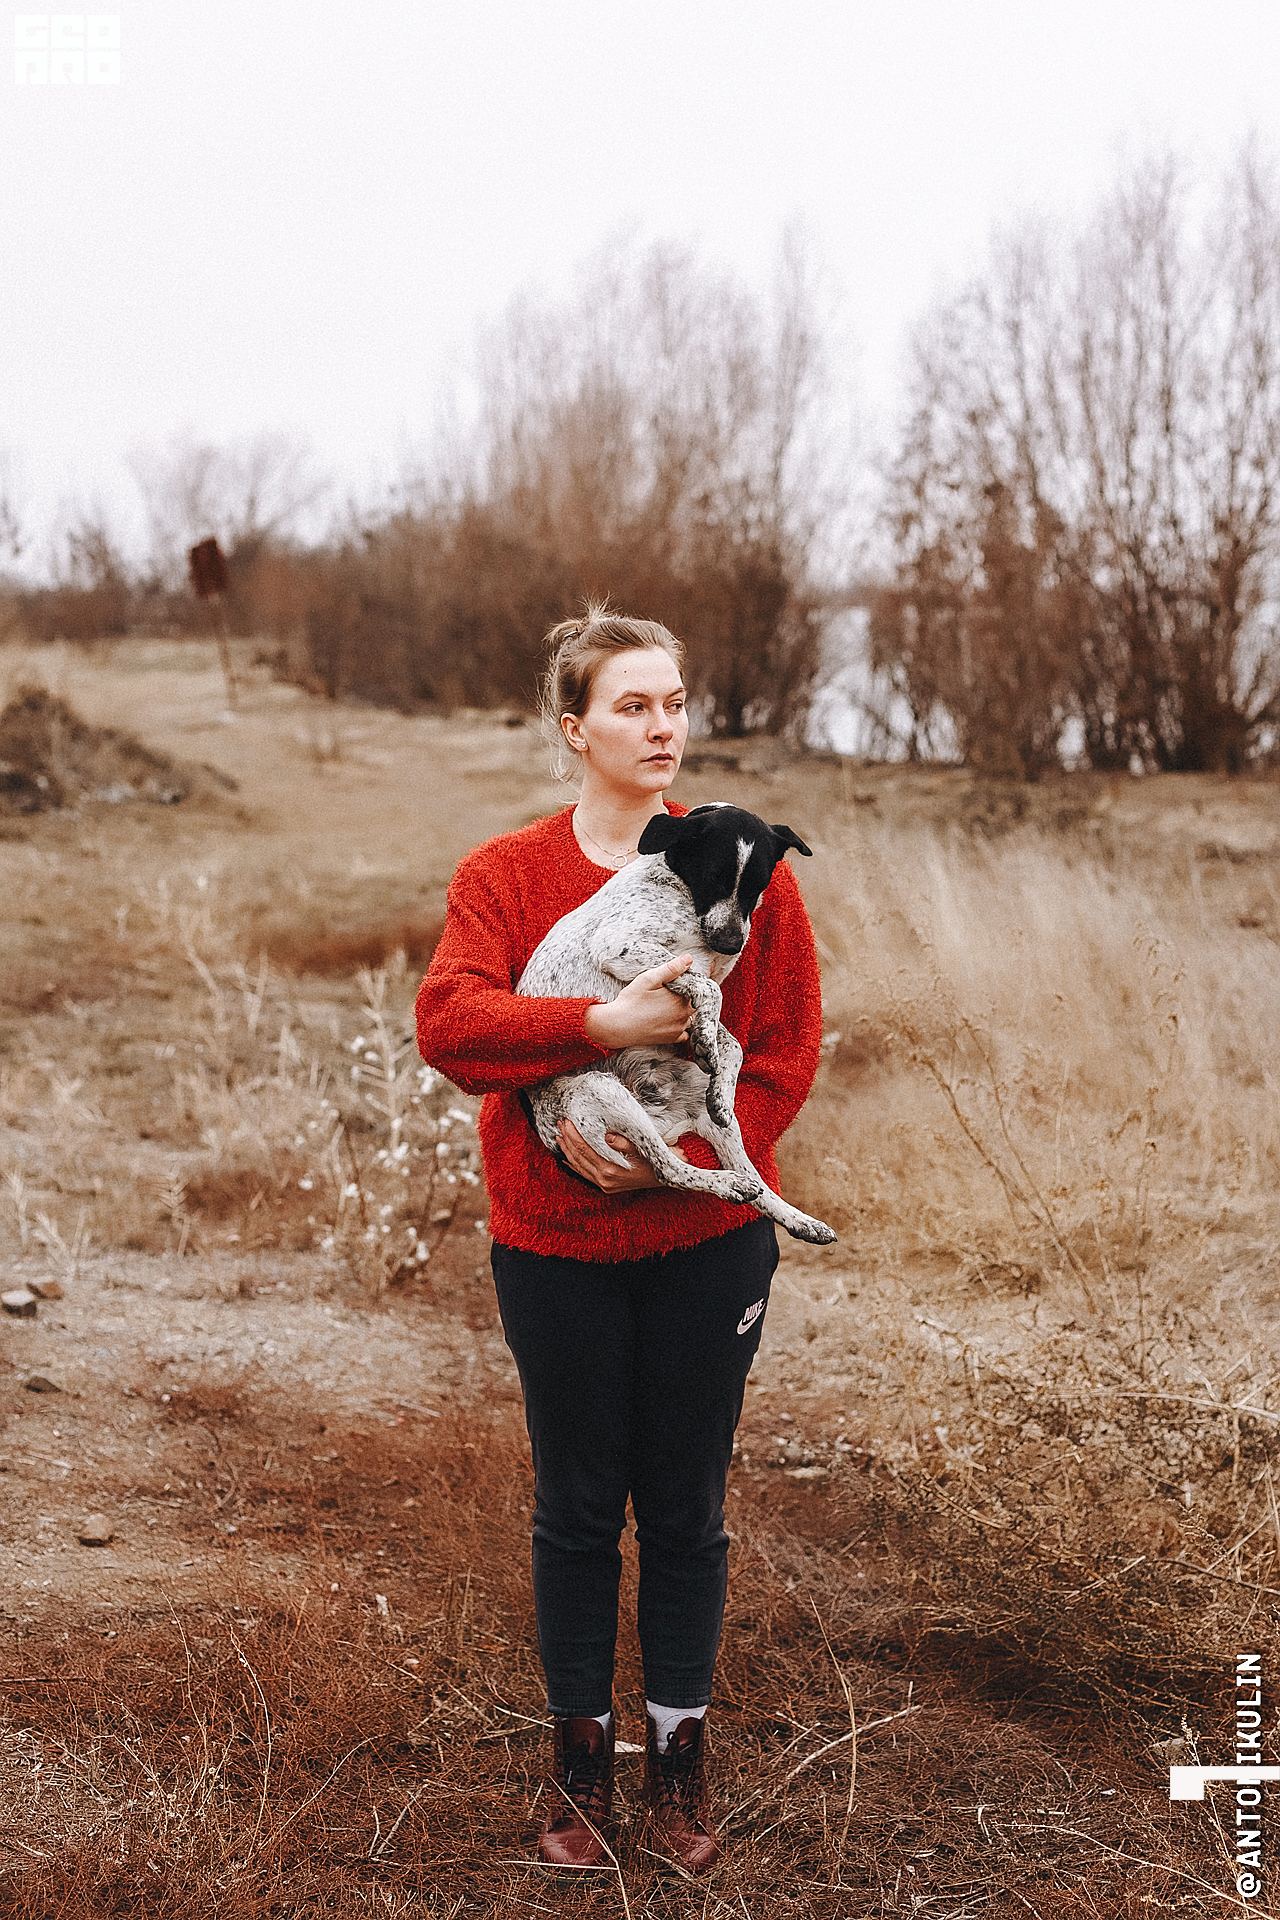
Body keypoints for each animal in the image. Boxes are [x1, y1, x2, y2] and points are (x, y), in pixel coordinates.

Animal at [515, 804, 837, 1245]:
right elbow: (709, 990)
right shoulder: (621, 948)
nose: (731, 944)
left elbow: (728, 1041)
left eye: (758, 887)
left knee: (753, 1179)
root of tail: (663, 1119)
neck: (681, 896)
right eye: (713, 877)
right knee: (669, 1169)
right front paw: (706, 1039)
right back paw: (727, 1184)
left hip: (705, 1112)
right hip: (603, 1092)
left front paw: (716, 1067)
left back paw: (799, 1219)